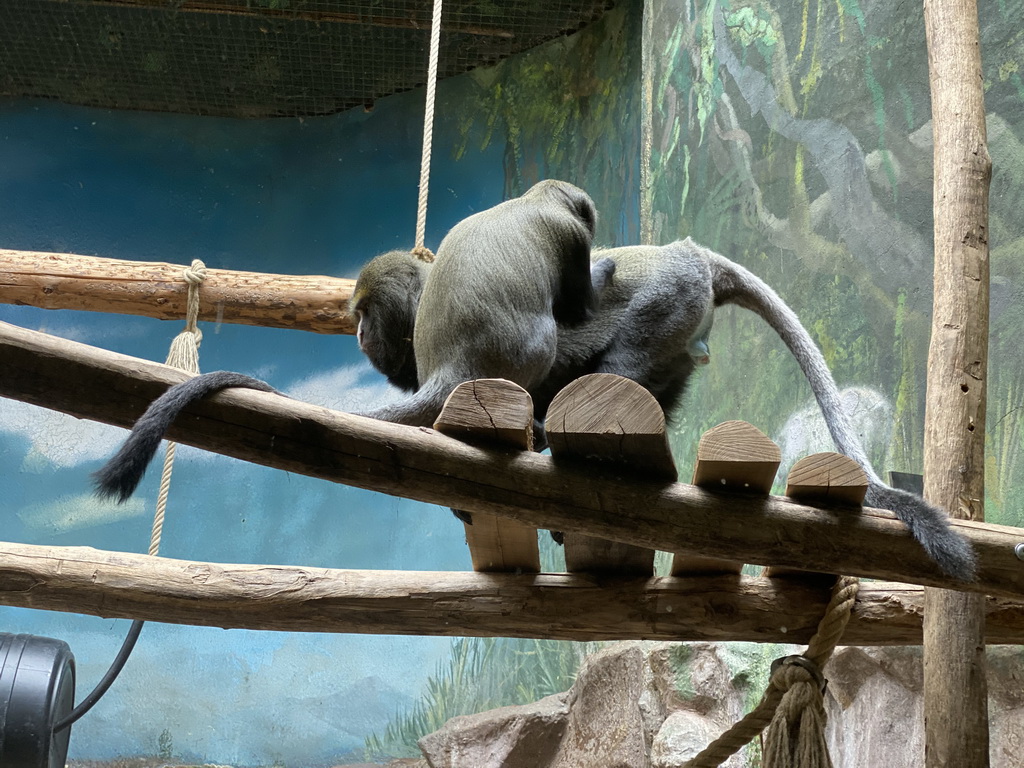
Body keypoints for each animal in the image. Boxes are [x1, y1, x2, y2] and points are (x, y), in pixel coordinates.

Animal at [94, 180, 606, 505]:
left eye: (365, 317)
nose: (360, 331)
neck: (530, 199)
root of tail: (454, 370)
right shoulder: (572, 234)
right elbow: (581, 305)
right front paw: (602, 271)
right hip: (528, 351)